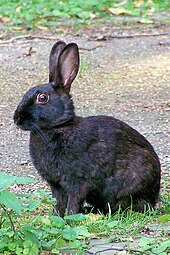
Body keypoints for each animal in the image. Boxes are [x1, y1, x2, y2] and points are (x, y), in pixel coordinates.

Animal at [13, 40, 161, 217]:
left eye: (42, 98)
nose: (17, 118)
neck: (58, 127)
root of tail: (155, 195)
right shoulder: (56, 186)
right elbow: (58, 203)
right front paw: (55, 218)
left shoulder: (78, 181)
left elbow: (73, 202)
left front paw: (69, 220)